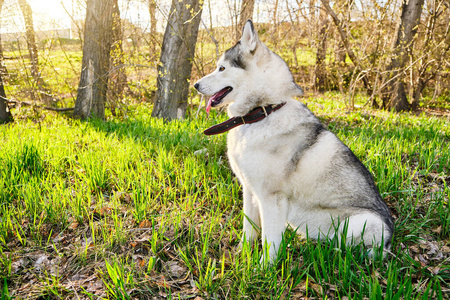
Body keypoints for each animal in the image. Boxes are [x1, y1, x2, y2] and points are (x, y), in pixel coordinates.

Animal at [194, 19, 394, 262]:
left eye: (221, 68)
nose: (195, 85)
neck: (262, 112)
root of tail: (389, 241)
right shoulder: (250, 190)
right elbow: (249, 229)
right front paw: (243, 255)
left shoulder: (271, 199)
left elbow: (269, 241)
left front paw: (263, 267)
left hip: (362, 222)